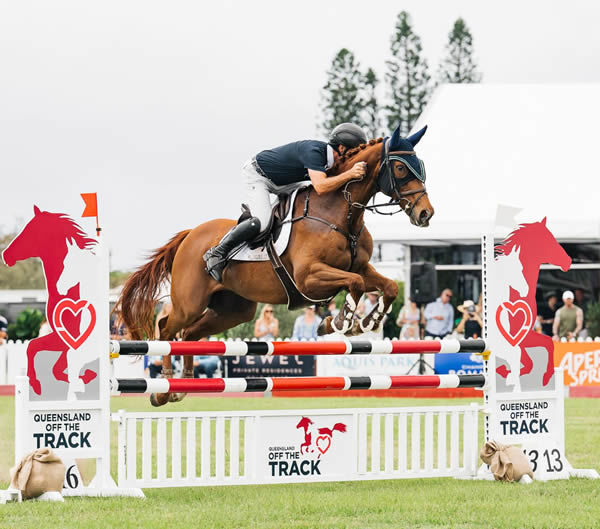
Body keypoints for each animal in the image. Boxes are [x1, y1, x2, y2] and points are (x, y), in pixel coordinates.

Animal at [2, 208, 98, 394]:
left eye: (30, 231)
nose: (5, 255)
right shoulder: (64, 339)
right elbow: (41, 354)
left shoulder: (68, 339)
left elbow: (44, 357)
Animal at [118, 126, 436, 406]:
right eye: (400, 168)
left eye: (419, 165)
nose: (426, 214)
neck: (340, 213)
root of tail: (189, 236)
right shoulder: (309, 278)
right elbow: (354, 285)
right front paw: (338, 322)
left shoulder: (361, 267)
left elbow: (389, 286)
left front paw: (367, 322)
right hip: (189, 303)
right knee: (166, 329)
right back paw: (163, 390)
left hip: (234, 310)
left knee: (190, 335)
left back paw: (182, 386)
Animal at [492, 219, 572, 388]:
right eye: (548, 240)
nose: (568, 261)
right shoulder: (518, 338)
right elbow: (529, 363)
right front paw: (505, 372)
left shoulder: (525, 335)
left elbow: (548, 343)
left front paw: (546, 376)